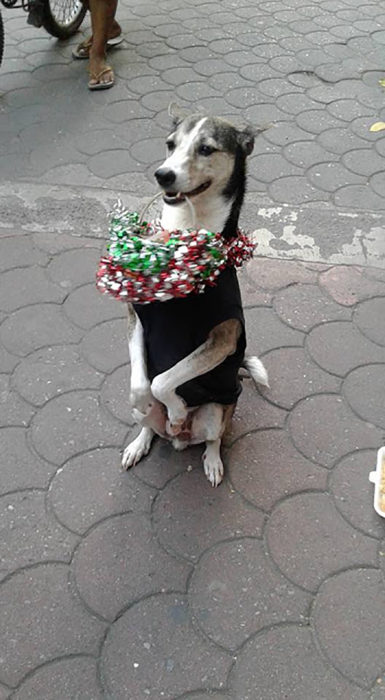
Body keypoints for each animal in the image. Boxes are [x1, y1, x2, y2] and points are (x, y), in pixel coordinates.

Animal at [120, 104, 268, 486]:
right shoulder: (136, 316)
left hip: (219, 410)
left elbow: (163, 380)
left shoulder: (222, 339)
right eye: (170, 144)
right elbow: (142, 385)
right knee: (149, 425)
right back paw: (140, 442)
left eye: (206, 148)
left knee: (213, 439)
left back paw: (207, 457)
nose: (163, 175)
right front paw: (151, 403)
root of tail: (181, 441)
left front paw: (176, 408)